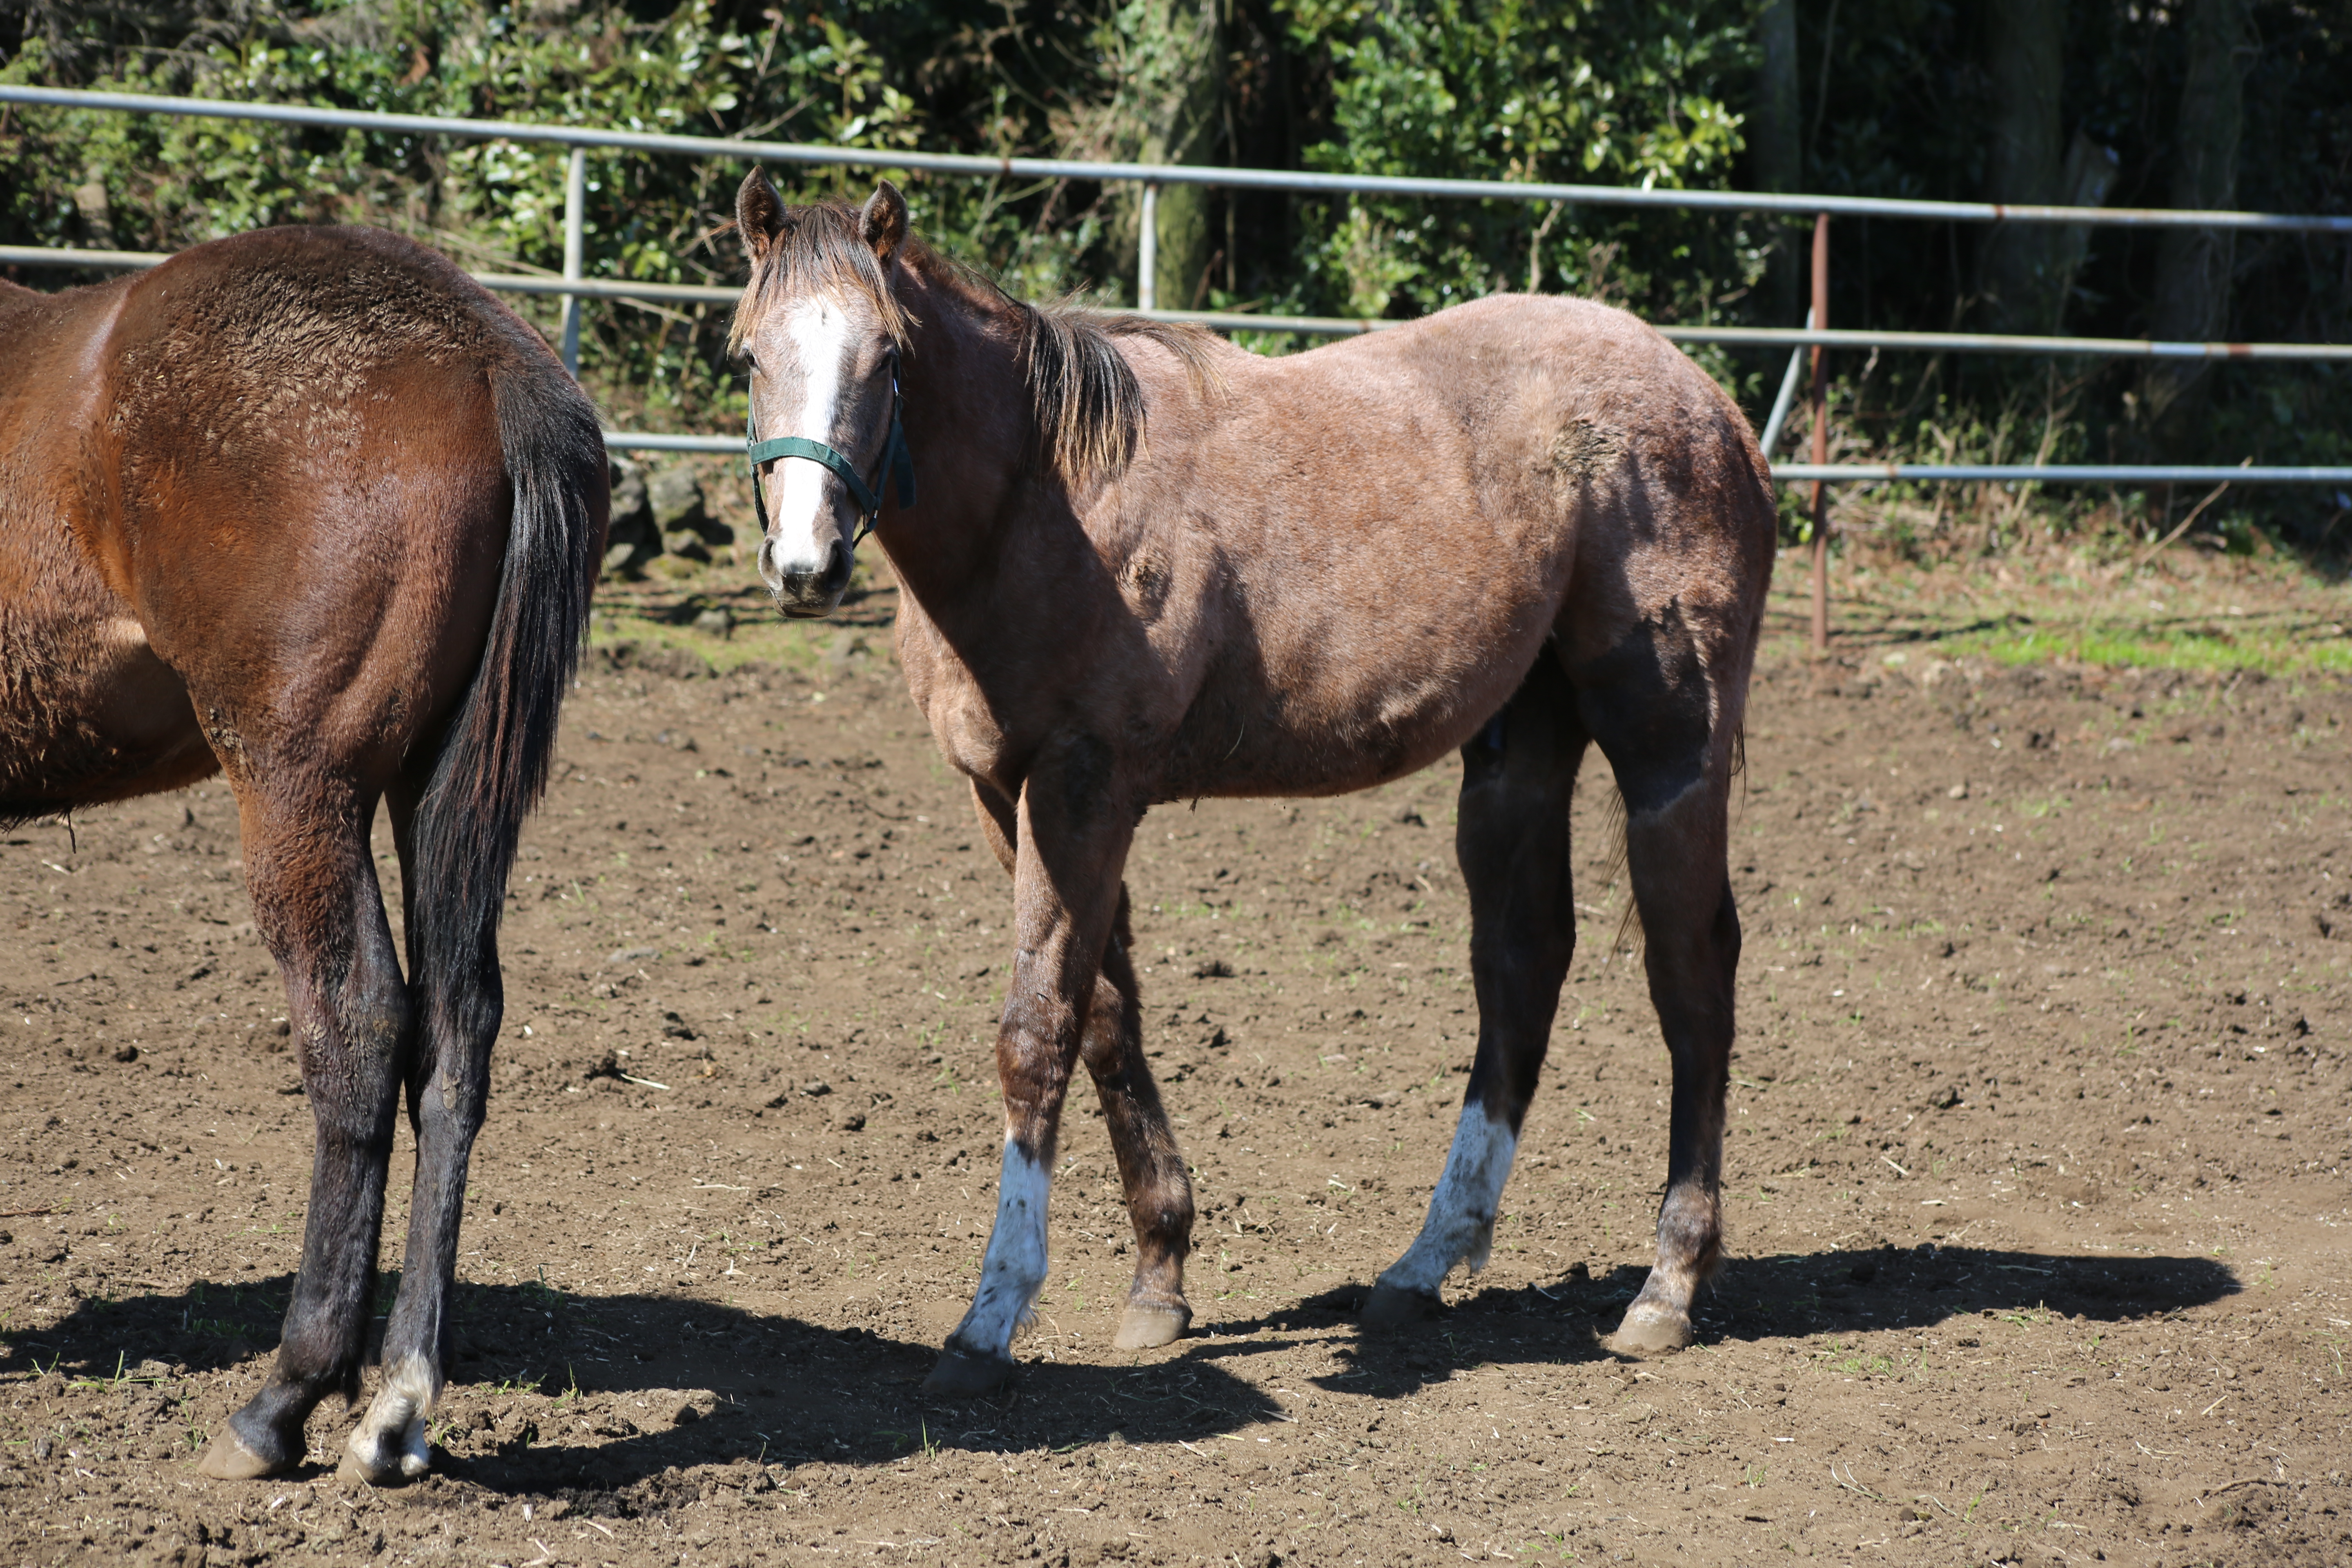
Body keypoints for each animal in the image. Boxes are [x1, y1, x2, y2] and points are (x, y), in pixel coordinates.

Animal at [2, 227, 607, 1476]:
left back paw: (283, 1397)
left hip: (296, 794)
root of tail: (488, 354)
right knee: (456, 1027)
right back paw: (398, 1402)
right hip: (432, 787)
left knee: (359, 1024)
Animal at [724, 175, 1768, 1401]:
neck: (1046, 498)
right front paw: (1158, 1276)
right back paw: (1424, 1263)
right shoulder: (1005, 795)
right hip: (1519, 747)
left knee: (1689, 978)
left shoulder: (1083, 787)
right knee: (1522, 967)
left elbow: (1037, 1032)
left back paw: (1666, 1286)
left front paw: (989, 1320)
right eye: (748, 354)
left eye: (888, 356)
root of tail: (1708, 401)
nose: (805, 564)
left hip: (1668, 752)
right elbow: (1107, 1018)